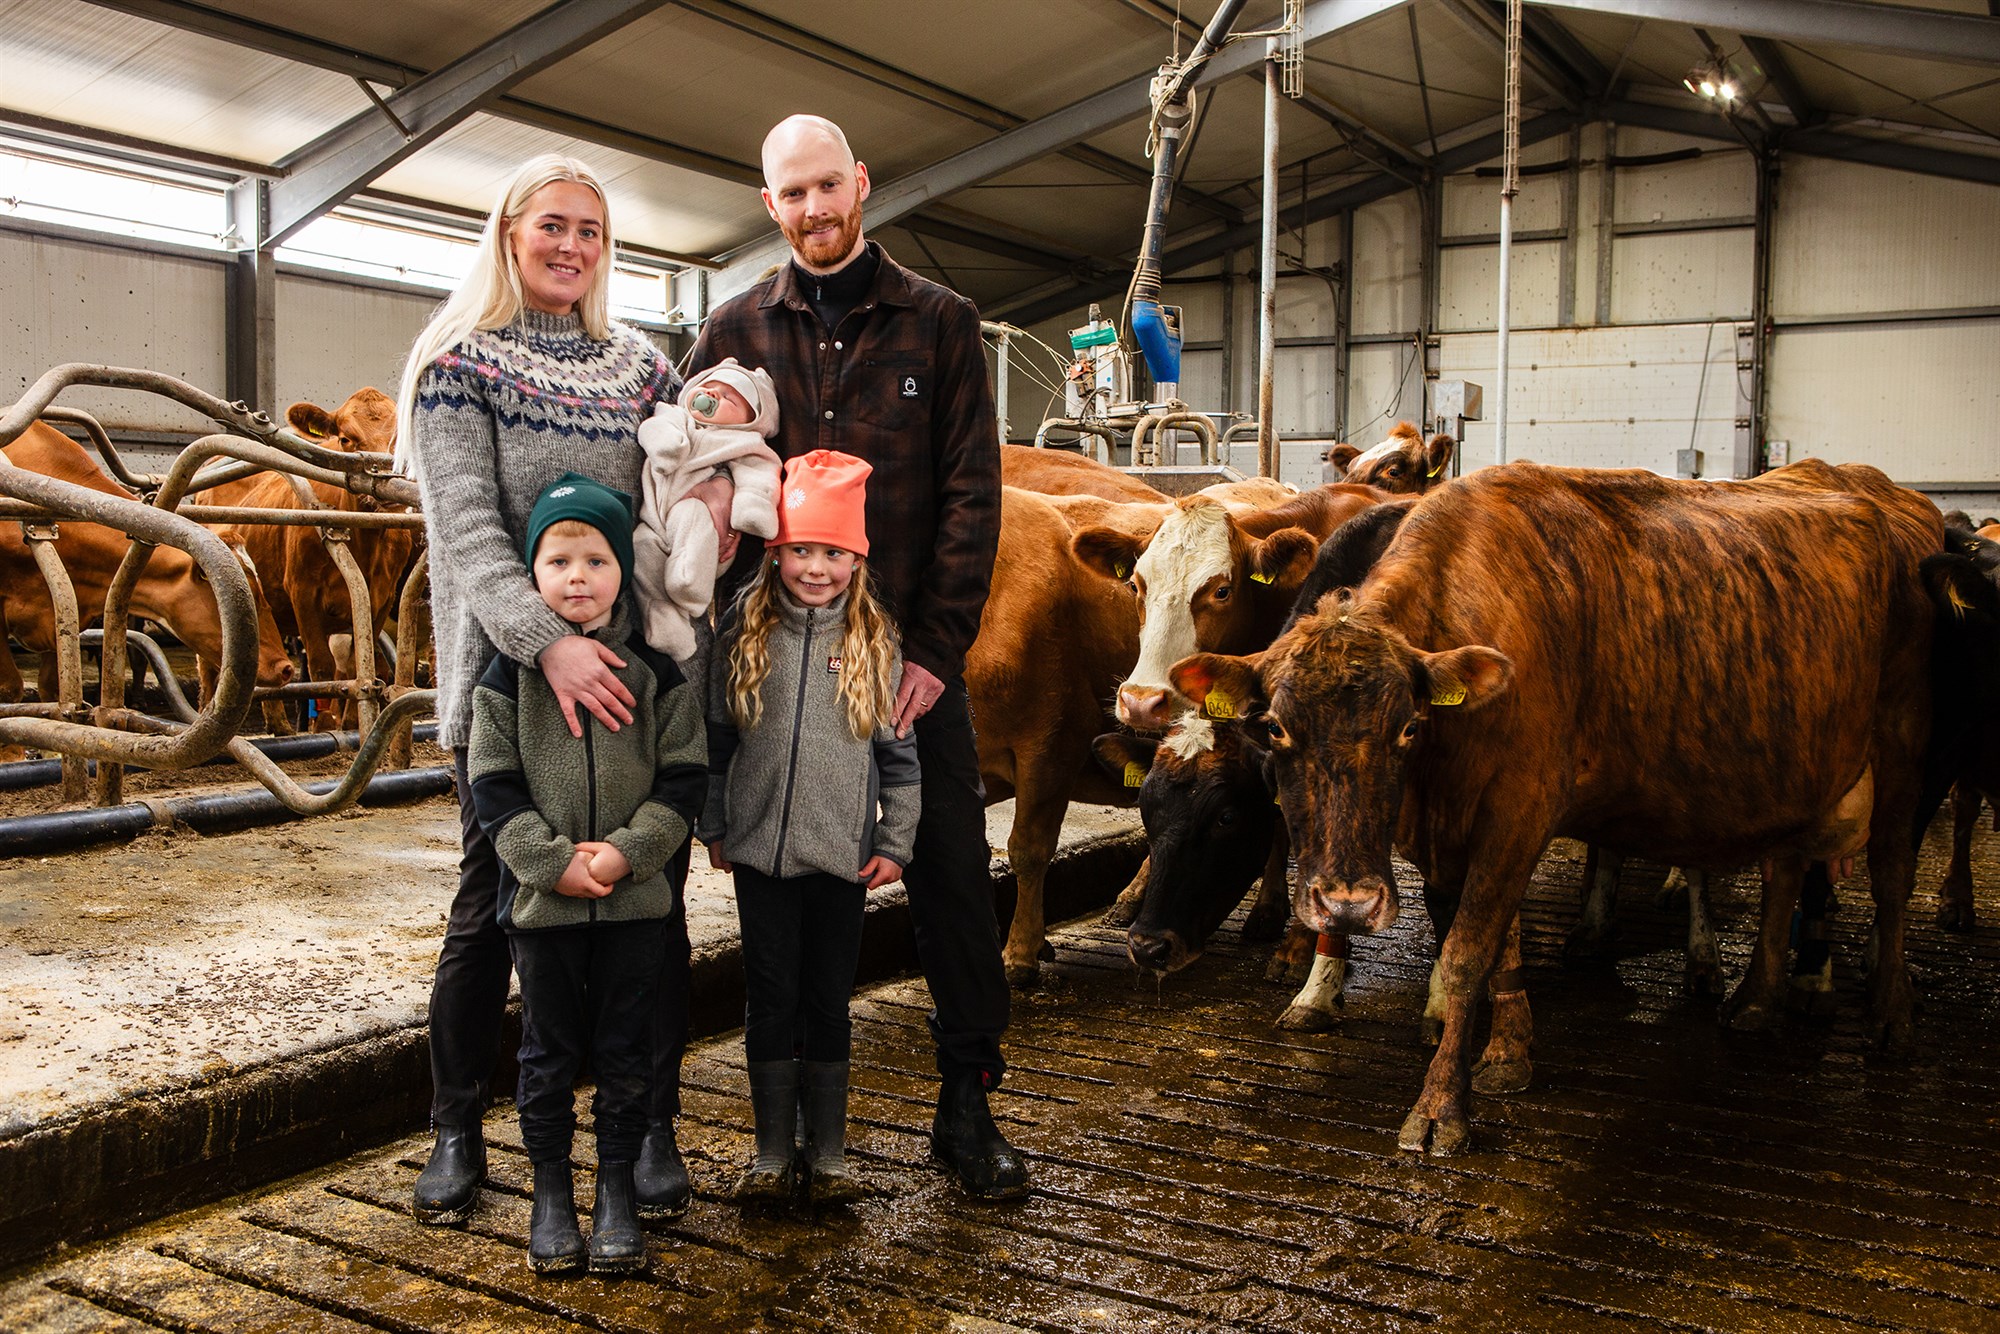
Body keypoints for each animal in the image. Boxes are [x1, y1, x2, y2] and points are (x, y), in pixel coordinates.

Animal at [203, 390, 419, 733]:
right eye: (345, 439)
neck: (365, 543)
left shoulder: (381, 599)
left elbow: (360, 661)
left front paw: (355, 725)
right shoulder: (303, 594)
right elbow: (321, 666)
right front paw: (324, 727)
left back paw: (280, 726)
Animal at [1171, 459, 1943, 1155]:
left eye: (1409, 727)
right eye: (1276, 727)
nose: (1348, 904)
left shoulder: (1521, 807)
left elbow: (1467, 952)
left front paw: (1440, 1107)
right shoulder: (1452, 829)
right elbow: (1485, 943)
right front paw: (1502, 1054)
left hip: (1904, 749)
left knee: (1892, 878)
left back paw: (1892, 1017)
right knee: (1786, 871)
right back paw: (1756, 999)